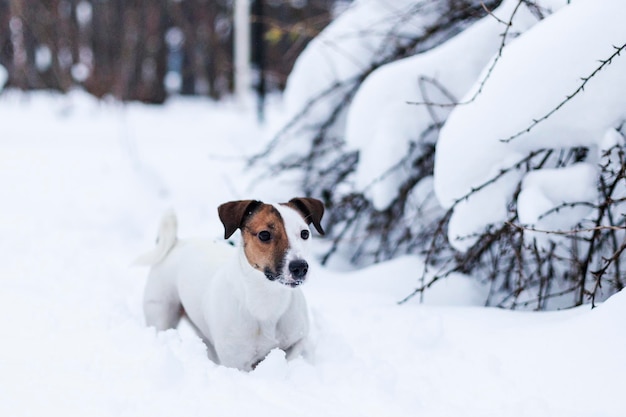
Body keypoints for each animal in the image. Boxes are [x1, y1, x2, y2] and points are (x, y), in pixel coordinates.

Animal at [135, 198, 324, 370]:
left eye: (305, 233)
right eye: (264, 235)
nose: (300, 267)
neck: (267, 300)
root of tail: (176, 243)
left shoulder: (297, 339)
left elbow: (292, 353)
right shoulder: (236, 362)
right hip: (161, 313)